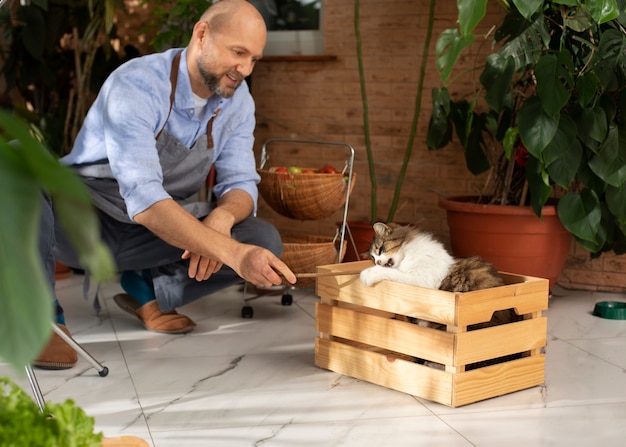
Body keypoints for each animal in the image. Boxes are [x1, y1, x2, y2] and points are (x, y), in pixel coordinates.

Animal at [356, 222, 502, 292]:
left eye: (381, 249)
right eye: (373, 259)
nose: (378, 262)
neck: (408, 253)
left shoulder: (420, 280)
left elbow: (389, 272)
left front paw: (366, 275)